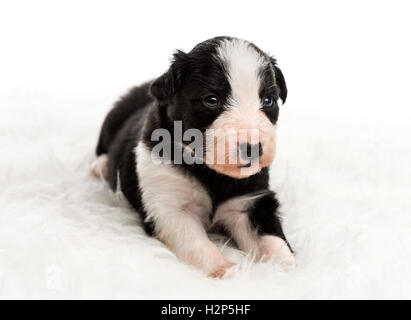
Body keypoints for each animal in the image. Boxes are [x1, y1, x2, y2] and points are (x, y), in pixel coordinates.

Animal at [91, 37, 294, 278]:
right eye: (212, 100)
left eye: (268, 100)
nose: (253, 148)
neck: (211, 172)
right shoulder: (168, 205)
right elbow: (195, 240)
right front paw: (224, 270)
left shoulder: (249, 200)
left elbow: (271, 238)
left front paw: (287, 268)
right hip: (114, 116)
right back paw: (100, 167)